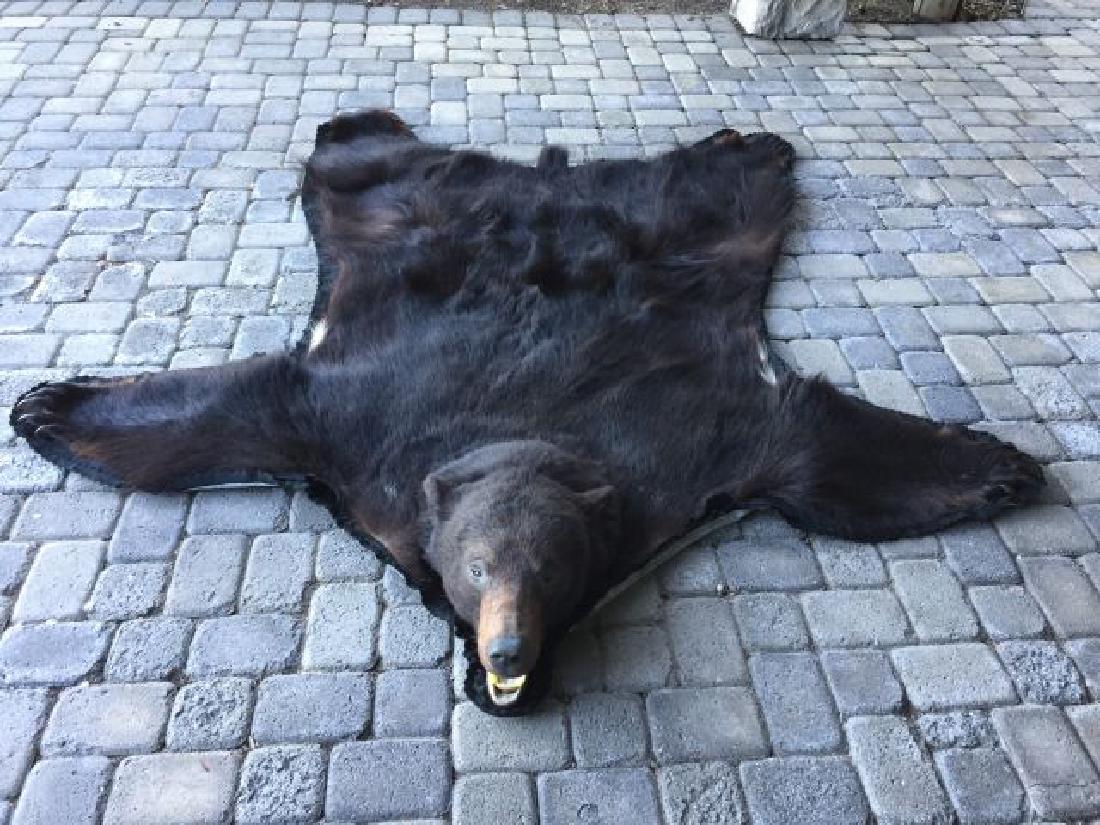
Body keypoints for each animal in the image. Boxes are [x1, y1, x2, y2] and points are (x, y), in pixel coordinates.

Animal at [12, 109, 1044, 715]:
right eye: (474, 567)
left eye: (551, 567)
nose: (505, 649)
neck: (521, 428)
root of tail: (550, 177)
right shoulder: (346, 425)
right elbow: (242, 409)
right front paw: (47, 403)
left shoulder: (707, 440)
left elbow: (815, 459)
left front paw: (999, 464)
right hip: (390, 207)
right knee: (367, 162)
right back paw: (360, 122)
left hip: (705, 228)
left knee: (720, 190)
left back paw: (741, 143)